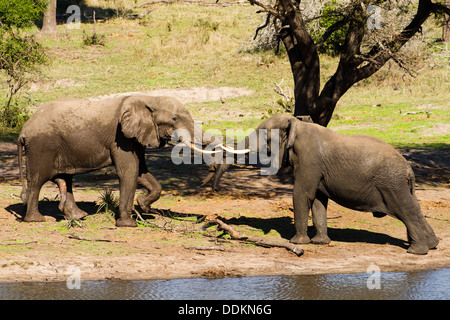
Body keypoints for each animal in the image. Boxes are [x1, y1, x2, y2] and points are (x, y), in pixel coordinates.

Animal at [17, 95, 243, 228]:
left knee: (65, 180)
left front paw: (143, 206)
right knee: (38, 180)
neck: (148, 98)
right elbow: (130, 171)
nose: (209, 180)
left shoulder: (136, 136)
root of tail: (23, 130)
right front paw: (128, 224)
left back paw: (79, 217)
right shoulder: (121, 137)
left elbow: (142, 171)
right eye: (174, 119)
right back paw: (36, 220)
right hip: (42, 146)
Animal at [204, 114, 440, 255]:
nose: (215, 189)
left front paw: (297, 243)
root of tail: (409, 169)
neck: (297, 124)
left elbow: (301, 194)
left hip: (392, 184)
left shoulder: (309, 161)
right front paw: (320, 243)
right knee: (415, 209)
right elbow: (318, 200)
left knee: (405, 211)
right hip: (401, 185)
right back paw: (432, 245)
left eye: (265, 138)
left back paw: (416, 251)